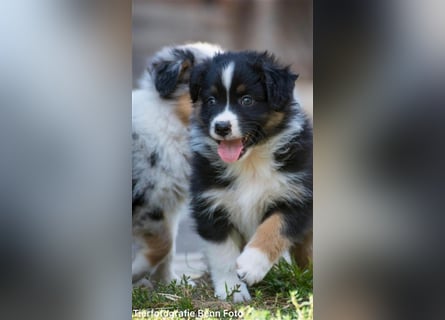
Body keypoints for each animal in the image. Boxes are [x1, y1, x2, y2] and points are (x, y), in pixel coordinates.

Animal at [189, 51, 310, 302]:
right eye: (211, 101)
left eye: (247, 100)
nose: (221, 127)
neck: (250, 163)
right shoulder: (210, 205)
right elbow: (223, 253)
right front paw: (232, 289)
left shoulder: (298, 197)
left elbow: (273, 228)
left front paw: (251, 265)